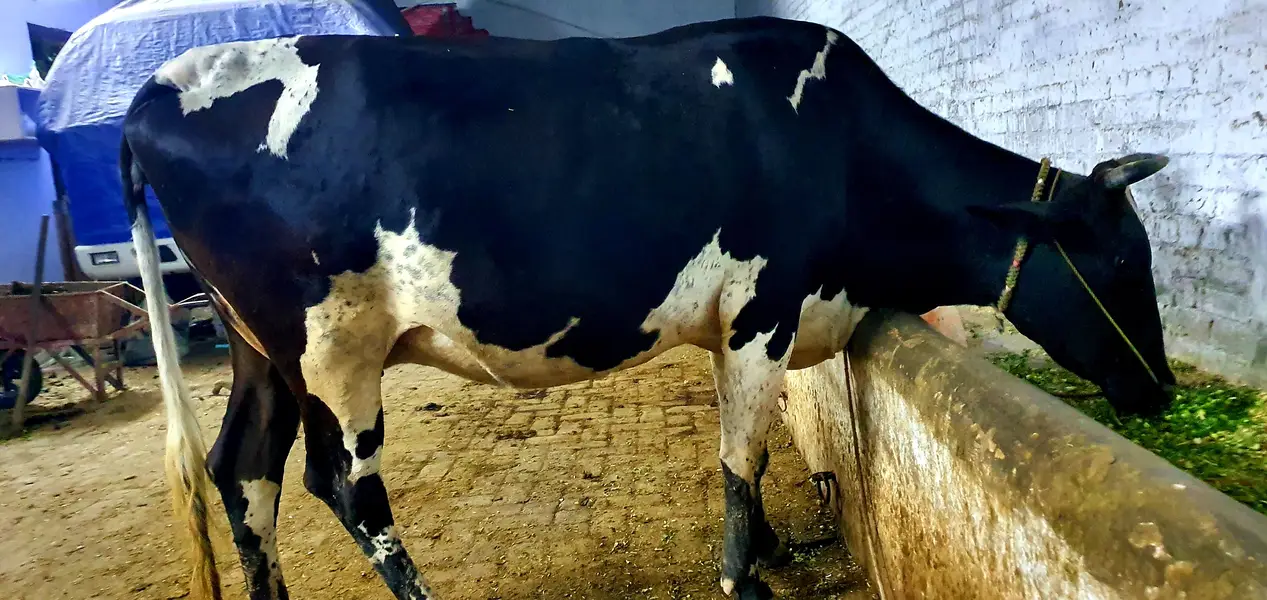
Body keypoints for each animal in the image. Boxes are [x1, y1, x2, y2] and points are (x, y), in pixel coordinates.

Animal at [118, 16, 1176, 600]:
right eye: (1127, 259)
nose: (1161, 393)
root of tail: (160, 88)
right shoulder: (763, 309)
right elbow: (740, 454)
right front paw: (744, 579)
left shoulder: (735, 322)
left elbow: (747, 451)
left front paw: (774, 550)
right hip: (331, 348)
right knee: (341, 484)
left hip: (260, 351)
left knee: (241, 471)